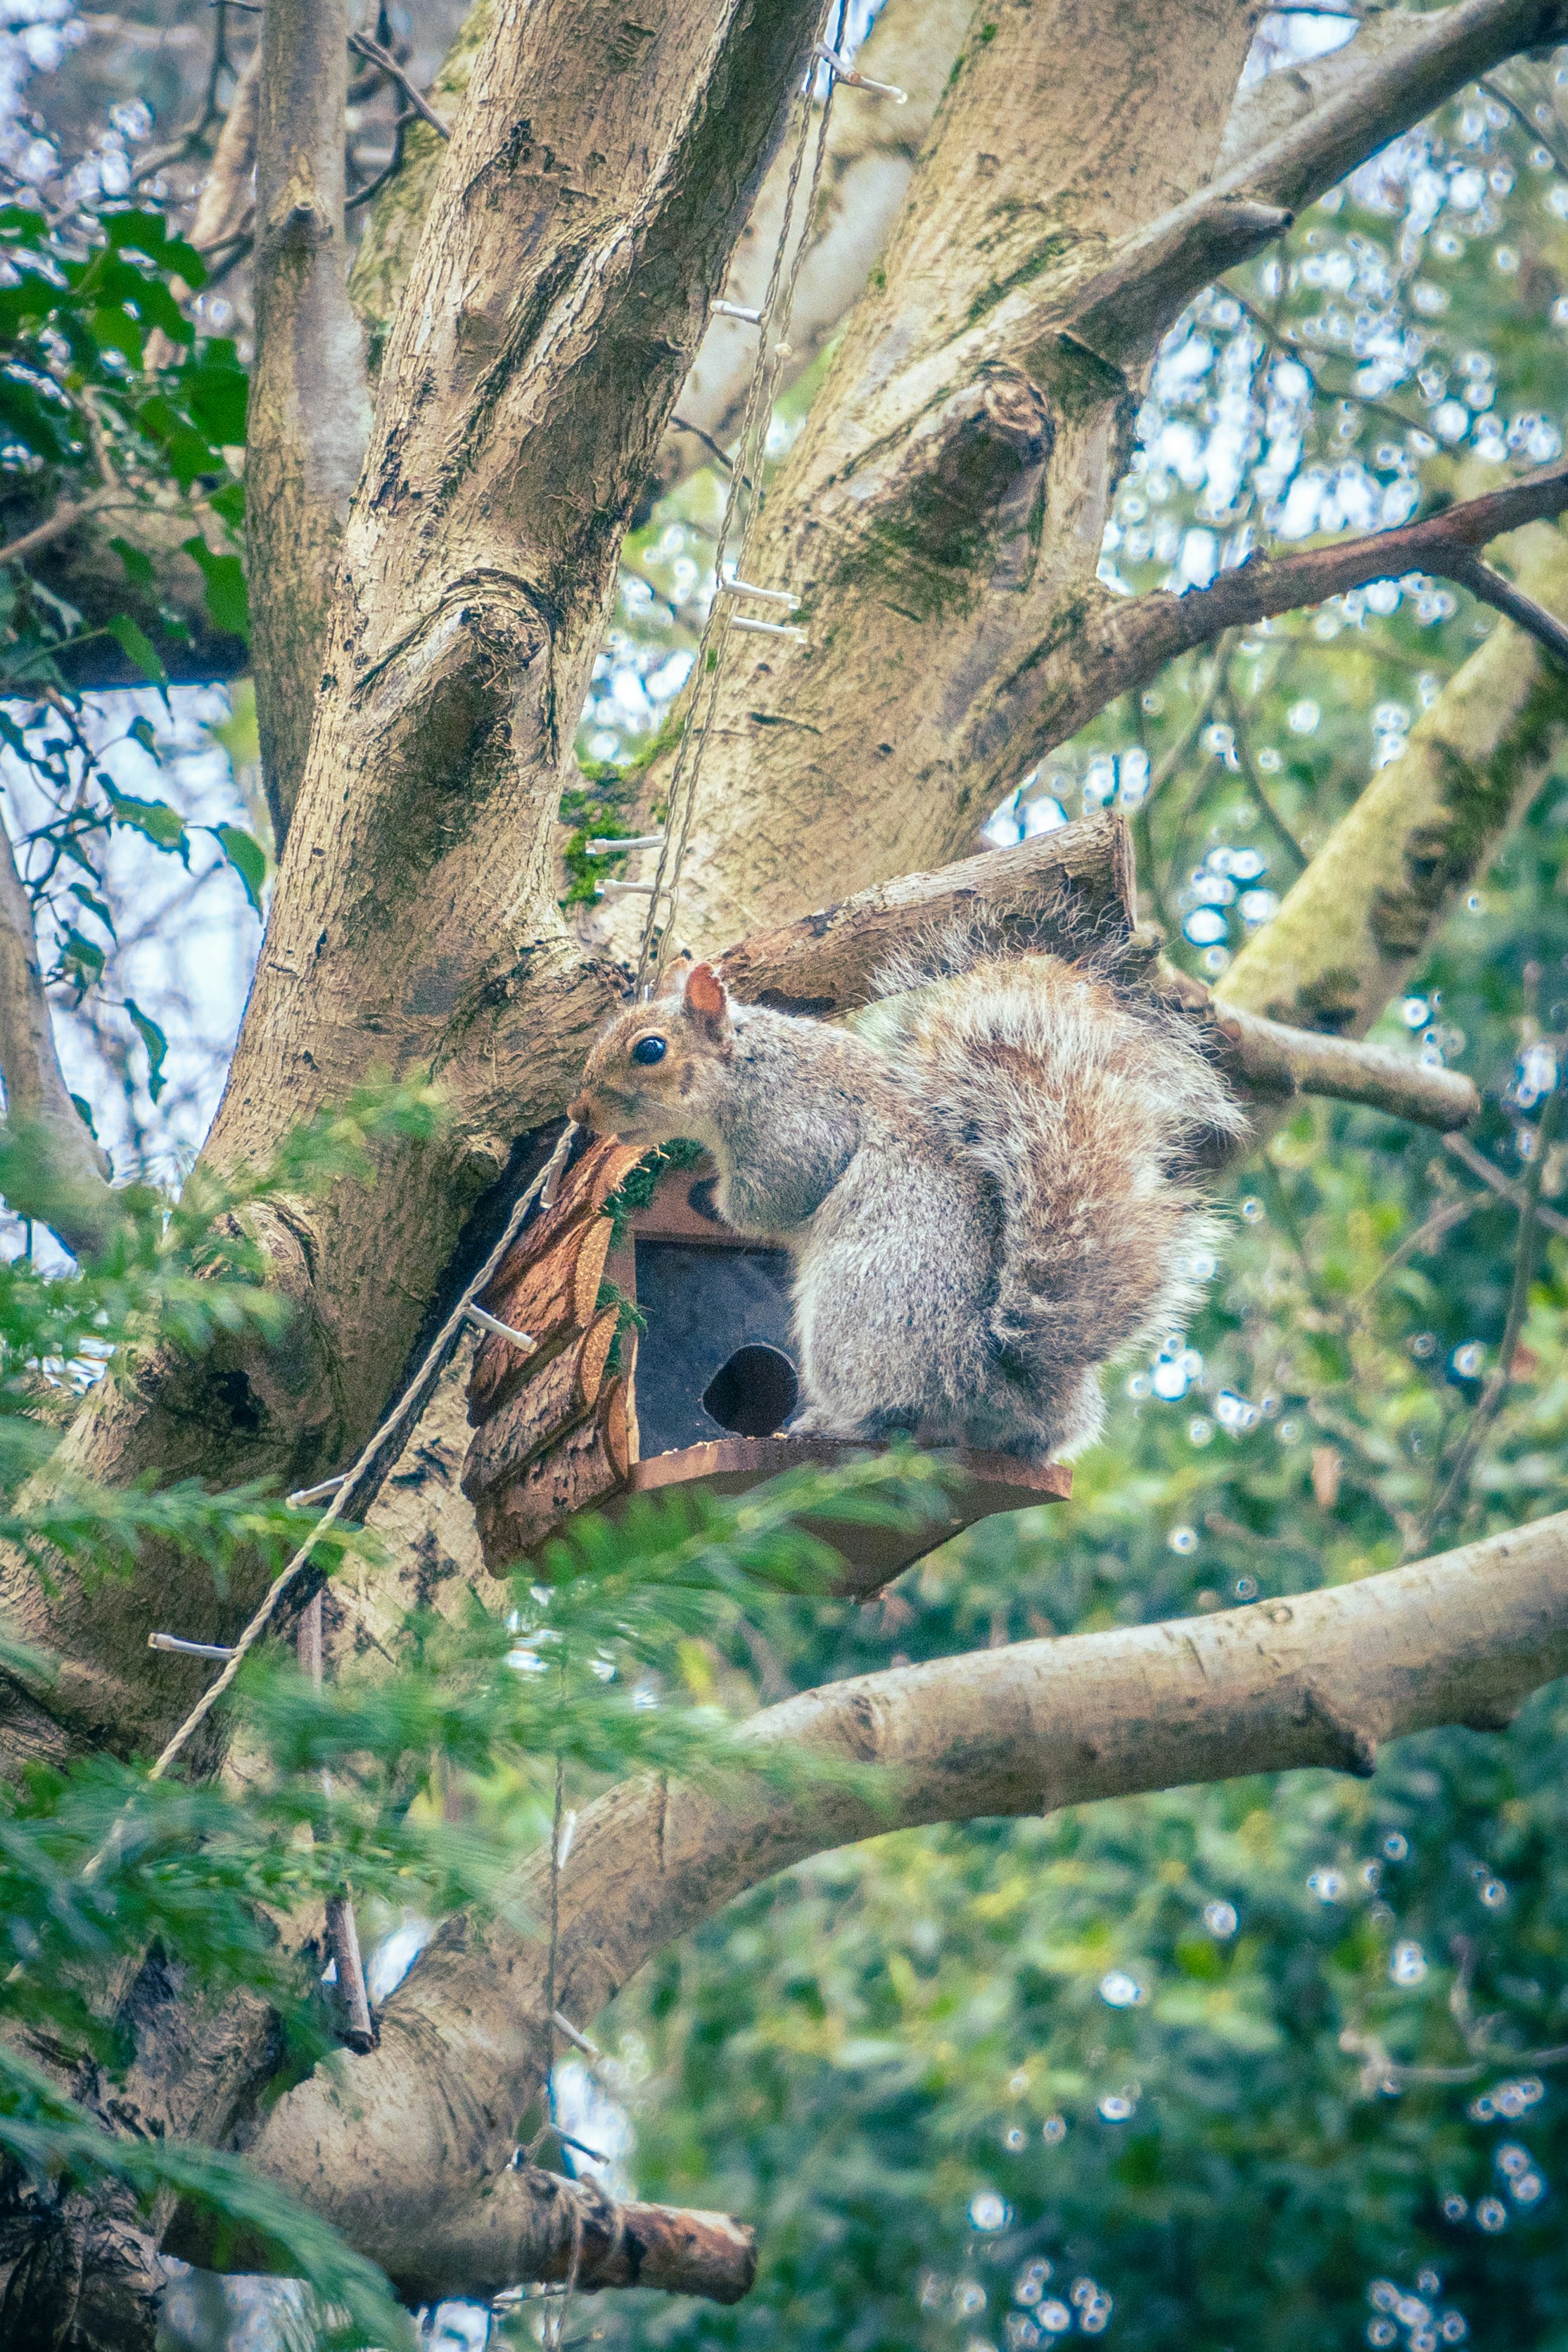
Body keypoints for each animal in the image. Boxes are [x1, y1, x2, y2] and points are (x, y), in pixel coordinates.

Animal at [569, 923, 1246, 1464]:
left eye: (649, 1049)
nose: (580, 1112)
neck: (748, 1065)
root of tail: (995, 1376)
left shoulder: (799, 1127)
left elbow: (775, 1196)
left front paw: (709, 1197)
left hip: (854, 1317)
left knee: (890, 1415)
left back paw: (829, 1425)